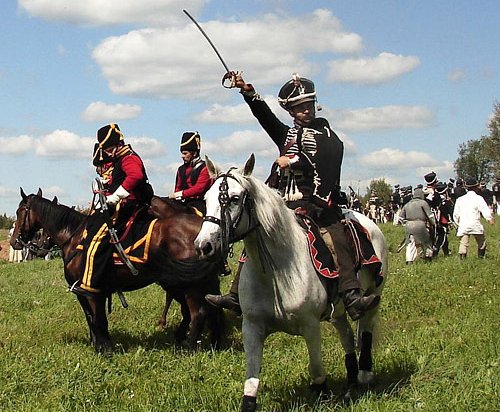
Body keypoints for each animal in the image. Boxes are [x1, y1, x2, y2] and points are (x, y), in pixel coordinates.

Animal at [10, 188, 225, 352]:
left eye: (20, 211)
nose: (14, 242)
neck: (75, 237)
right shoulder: (88, 292)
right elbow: (92, 318)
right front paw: (98, 343)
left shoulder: (90, 290)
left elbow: (97, 318)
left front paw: (104, 348)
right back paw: (209, 342)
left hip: (190, 285)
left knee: (198, 313)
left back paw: (189, 348)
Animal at [194, 155, 386, 412]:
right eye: (206, 199)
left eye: (234, 199)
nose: (203, 246)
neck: (278, 273)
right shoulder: (252, 328)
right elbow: (251, 382)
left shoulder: (311, 326)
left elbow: (317, 372)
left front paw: (322, 393)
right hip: (337, 312)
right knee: (346, 334)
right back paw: (351, 381)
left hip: (374, 296)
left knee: (366, 328)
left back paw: (364, 374)